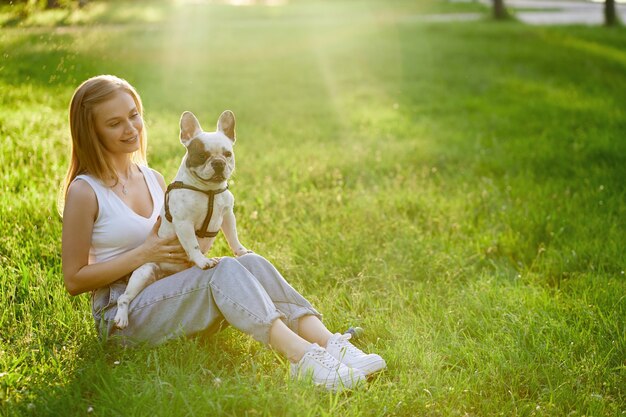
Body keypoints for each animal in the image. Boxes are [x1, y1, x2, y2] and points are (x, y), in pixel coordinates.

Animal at [113, 109, 250, 328]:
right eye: (202, 155)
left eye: (228, 154)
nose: (218, 163)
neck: (208, 190)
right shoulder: (184, 223)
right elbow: (193, 245)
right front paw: (202, 261)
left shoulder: (228, 215)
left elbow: (233, 237)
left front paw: (241, 251)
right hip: (143, 273)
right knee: (123, 298)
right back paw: (122, 317)